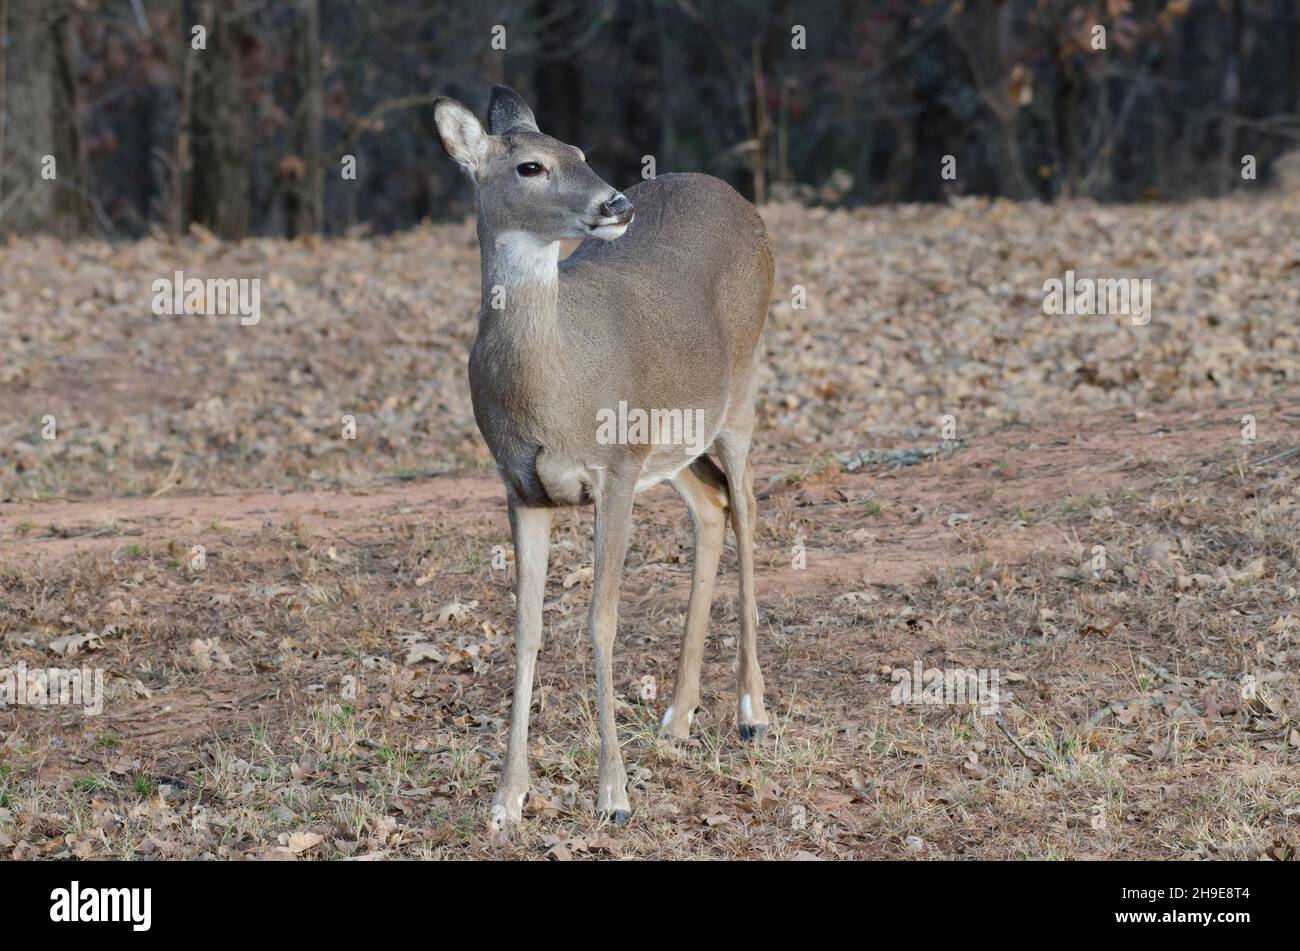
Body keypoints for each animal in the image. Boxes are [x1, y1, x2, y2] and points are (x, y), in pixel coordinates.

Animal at [433, 86, 773, 831]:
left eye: (579, 151)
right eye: (531, 165)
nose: (617, 203)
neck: (553, 384)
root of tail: (736, 196)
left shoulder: (613, 471)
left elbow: (602, 620)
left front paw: (613, 796)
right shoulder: (522, 488)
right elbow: (527, 627)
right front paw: (507, 799)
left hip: (741, 387)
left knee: (749, 507)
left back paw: (752, 711)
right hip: (672, 442)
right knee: (712, 507)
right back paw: (677, 717)